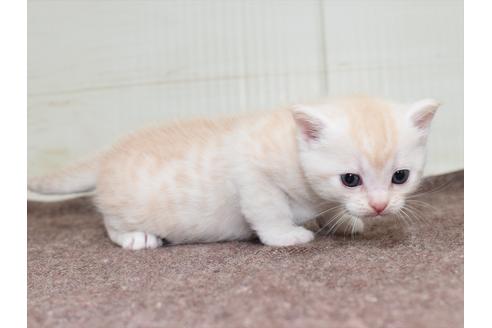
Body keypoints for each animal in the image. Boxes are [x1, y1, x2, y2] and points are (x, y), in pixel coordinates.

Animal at [28, 96, 440, 250]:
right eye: (350, 179)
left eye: (400, 177)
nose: (380, 207)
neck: (292, 145)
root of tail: (110, 153)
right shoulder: (252, 175)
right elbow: (269, 211)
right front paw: (286, 236)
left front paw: (341, 220)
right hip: (126, 206)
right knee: (110, 221)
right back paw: (136, 237)